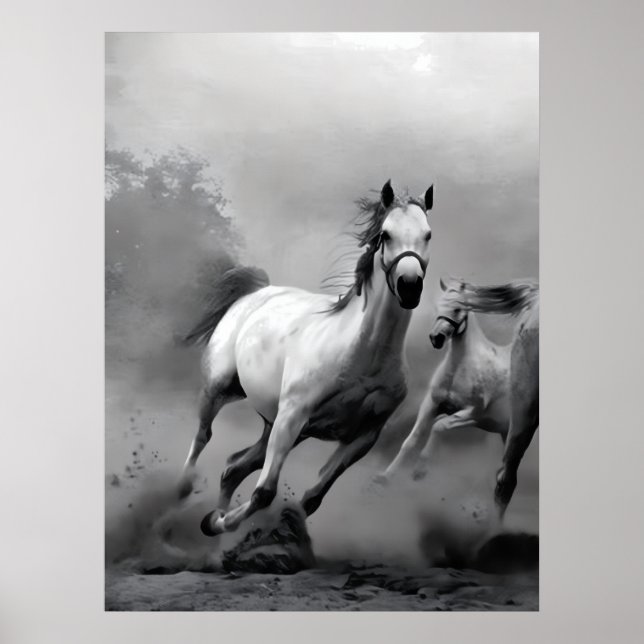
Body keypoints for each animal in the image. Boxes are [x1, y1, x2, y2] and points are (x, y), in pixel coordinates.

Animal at [178, 180, 435, 536]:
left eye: (428, 234)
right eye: (385, 234)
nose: (410, 286)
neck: (364, 354)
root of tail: (257, 292)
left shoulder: (364, 436)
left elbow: (312, 498)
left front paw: (223, 521)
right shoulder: (292, 417)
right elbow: (264, 493)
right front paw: (221, 522)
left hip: (275, 425)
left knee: (233, 468)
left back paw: (212, 519)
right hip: (221, 389)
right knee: (204, 435)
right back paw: (184, 490)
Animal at [375, 277, 538, 517]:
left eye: (458, 308)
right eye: (438, 306)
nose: (436, 338)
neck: (462, 367)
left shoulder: (473, 414)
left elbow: (439, 426)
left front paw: (419, 470)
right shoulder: (431, 404)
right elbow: (411, 439)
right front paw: (385, 477)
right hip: (504, 433)